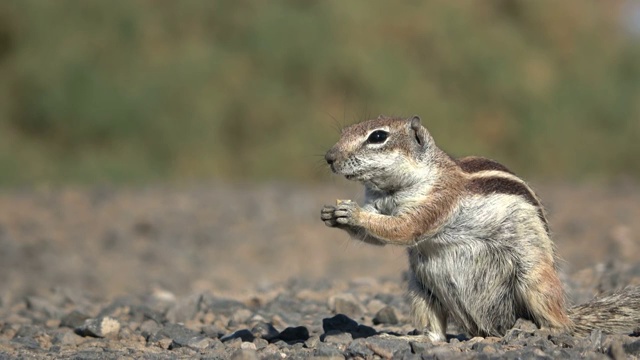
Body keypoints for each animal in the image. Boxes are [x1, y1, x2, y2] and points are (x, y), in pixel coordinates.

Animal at [320, 115, 640, 340]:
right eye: (345, 131)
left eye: (378, 136)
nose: (329, 157)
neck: (391, 190)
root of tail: (488, 328)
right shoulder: (377, 201)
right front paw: (332, 214)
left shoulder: (438, 200)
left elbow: (405, 228)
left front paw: (352, 214)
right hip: (420, 290)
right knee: (435, 328)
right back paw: (419, 338)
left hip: (535, 281)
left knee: (559, 322)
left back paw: (541, 329)